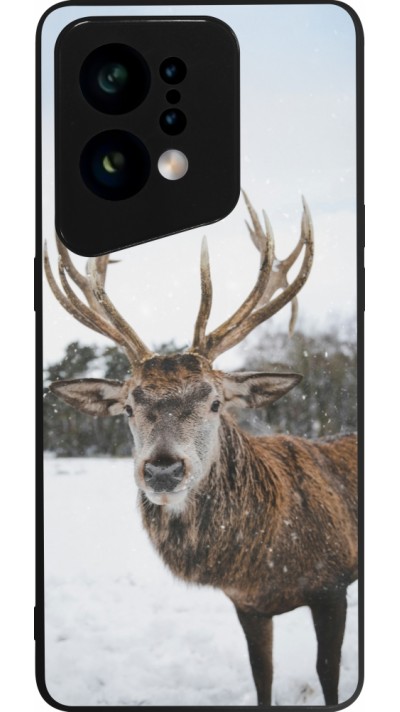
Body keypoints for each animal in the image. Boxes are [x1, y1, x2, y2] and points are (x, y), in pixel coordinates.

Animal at [44, 193, 358, 706]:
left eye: (214, 402)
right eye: (128, 407)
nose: (163, 471)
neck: (265, 561)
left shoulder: (333, 584)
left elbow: (328, 675)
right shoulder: (248, 605)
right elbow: (262, 677)